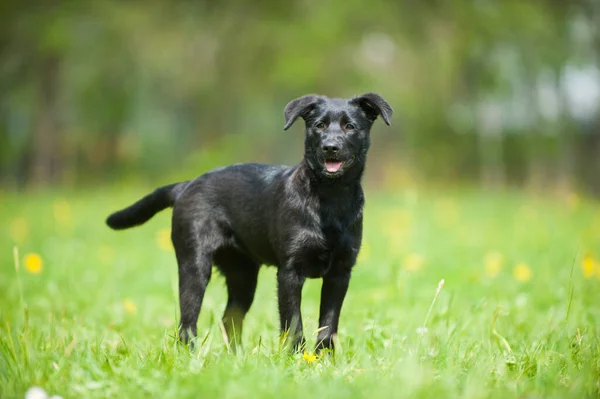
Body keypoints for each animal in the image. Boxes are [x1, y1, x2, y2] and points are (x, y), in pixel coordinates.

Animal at [105, 94, 392, 354]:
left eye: (350, 126)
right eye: (319, 126)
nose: (330, 147)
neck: (329, 199)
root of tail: (186, 185)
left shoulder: (340, 273)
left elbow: (328, 324)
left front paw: (322, 359)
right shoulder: (290, 272)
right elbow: (293, 322)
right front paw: (297, 359)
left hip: (242, 275)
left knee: (229, 319)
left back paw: (237, 359)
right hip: (195, 265)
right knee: (188, 323)